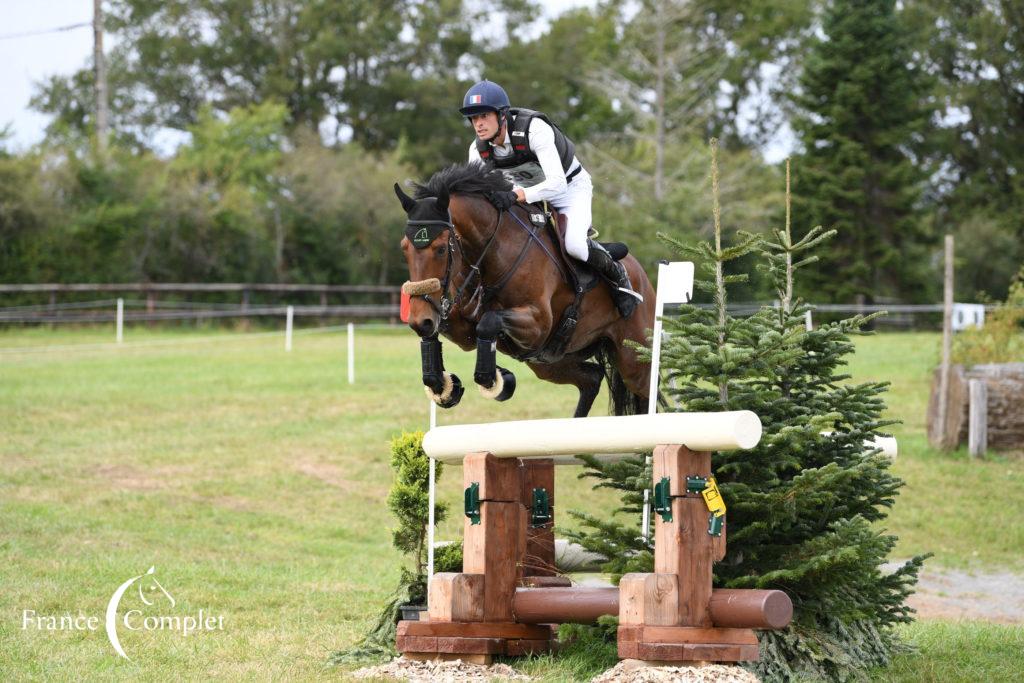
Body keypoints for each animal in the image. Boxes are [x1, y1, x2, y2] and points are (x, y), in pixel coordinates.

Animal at [391, 161, 655, 417]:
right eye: (404, 247)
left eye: (440, 249)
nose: (419, 320)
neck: (493, 251)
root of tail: (642, 275)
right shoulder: (462, 326)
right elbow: (441, 332)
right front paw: (443, 386)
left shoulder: (538, 324)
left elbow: (489, 322)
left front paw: (494, 381)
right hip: (550, 362)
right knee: (591, 379)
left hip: (634, 359)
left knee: (646, 394)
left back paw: (625, 293)